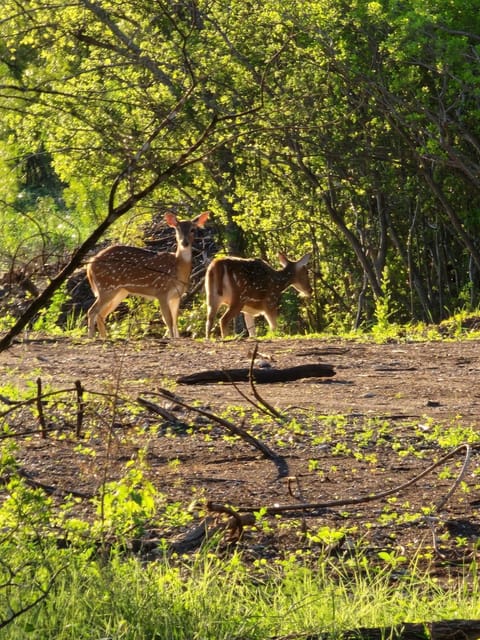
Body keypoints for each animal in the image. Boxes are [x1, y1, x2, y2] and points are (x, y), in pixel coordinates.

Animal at [86, 211, 209, 339]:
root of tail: (90, 265)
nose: (184, 242)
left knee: (101, 314)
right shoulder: (161, 291)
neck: (178, 270)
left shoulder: (176, 295)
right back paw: (91, 337)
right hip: (106, 287)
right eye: (177, 229)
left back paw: (104, 337)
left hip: (120, 291)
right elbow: (168, 320)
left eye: (192, 229)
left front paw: (177, 337)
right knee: (92, 311)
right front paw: (170, 338)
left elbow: (175, 320)